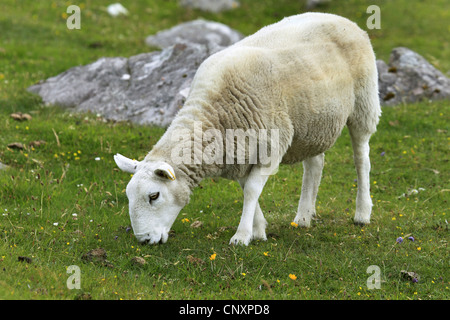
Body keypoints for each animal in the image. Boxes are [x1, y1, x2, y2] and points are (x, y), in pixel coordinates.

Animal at [114, 12, 382, 246]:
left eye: (154, 196)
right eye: (128, 196)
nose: (144, 240)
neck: (214, 115)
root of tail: (340, 19)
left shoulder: (269, 147)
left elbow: (252, 190)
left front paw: (242, 236)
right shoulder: (239, 151)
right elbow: (247, 189)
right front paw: (259, 230)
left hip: (364, 104)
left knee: (362, 158)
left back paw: (362, 213)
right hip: (312, 123)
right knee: (315, 165)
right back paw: (304, 217)